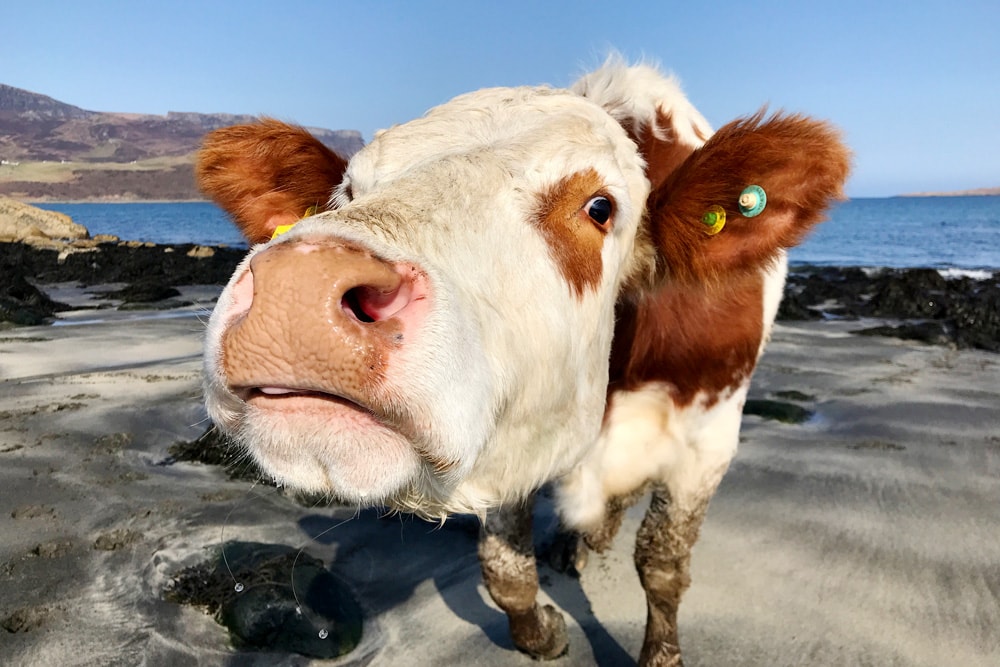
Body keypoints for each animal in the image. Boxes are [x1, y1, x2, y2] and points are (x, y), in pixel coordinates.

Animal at [197, 60, 852, 664]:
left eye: (599, 207)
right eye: (349, 192)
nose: (299, 286)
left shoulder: (707, 439)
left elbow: (663, 566)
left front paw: (660, 652)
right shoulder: (512, 429)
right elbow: (505, 568)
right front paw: (542, 634)